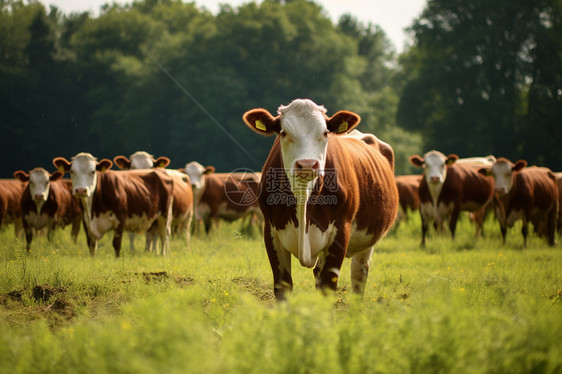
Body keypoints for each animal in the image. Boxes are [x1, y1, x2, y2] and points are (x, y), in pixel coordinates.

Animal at [242, 98, 398, 300]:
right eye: (284, 132)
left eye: (325, 132)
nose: (307, 164)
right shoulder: (271, 232)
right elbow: (283, 286)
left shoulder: (341, 231)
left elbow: (327, 286)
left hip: (368, 240)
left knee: (359, 276)